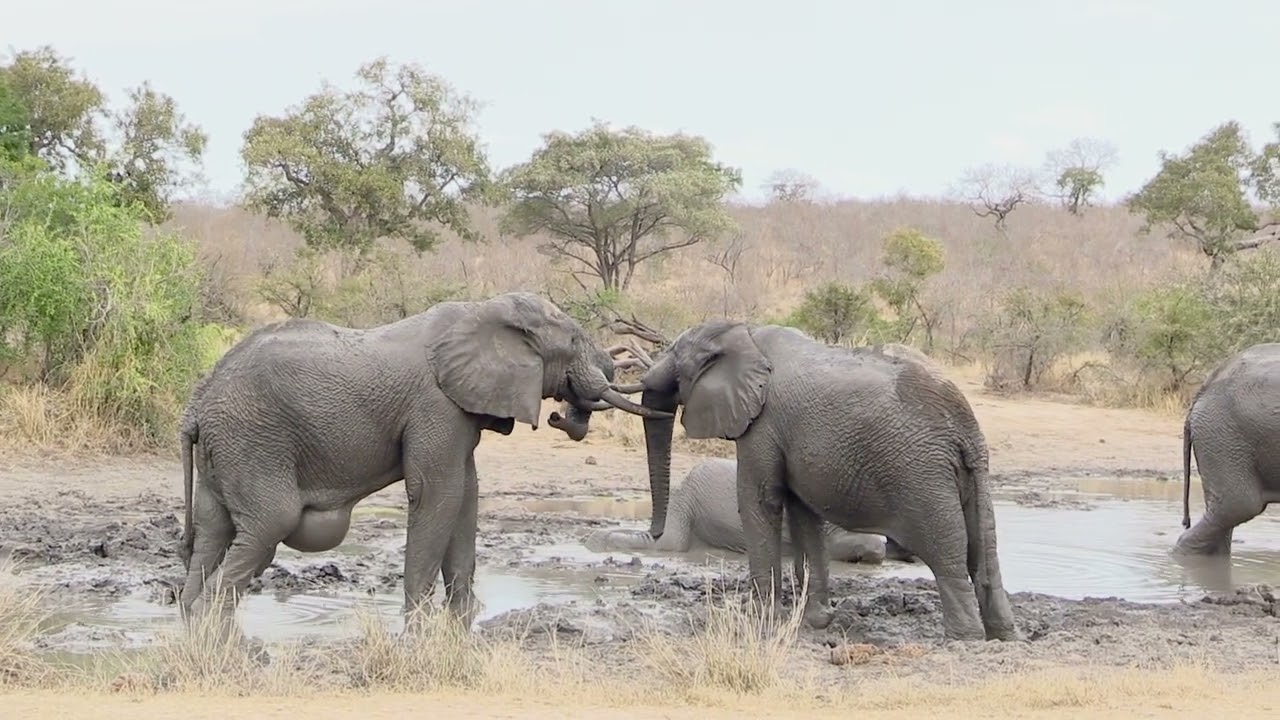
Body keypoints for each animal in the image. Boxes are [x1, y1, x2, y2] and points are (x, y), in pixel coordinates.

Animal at [175, 291, 671, 629]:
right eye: (572, 340)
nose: (557, 415)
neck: (483, 311)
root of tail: (196, 406)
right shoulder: (436, 406)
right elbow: (439, 494)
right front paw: (420, 622)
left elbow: (467, 497)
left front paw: (466, 617)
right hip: (252, 439)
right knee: (268, 524)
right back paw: (210, 623)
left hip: (227, 450)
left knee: (213, 530)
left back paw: (189, 617)